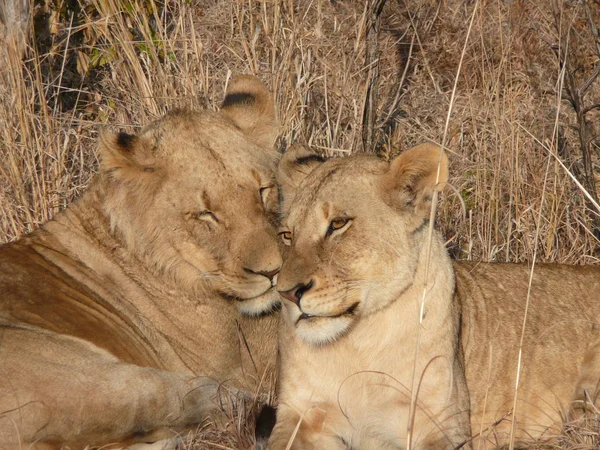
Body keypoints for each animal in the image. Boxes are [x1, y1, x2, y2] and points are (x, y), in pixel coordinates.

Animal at [268, 144, 600, 450]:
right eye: (287, 235)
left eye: (338, 224)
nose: (287, 293)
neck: (358, 343)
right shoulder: (300, 415)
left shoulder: (441, 422)